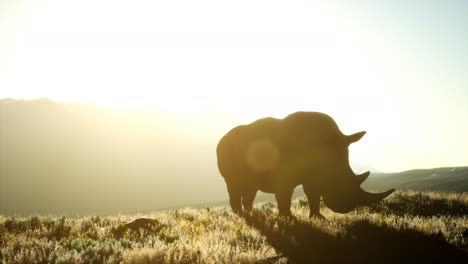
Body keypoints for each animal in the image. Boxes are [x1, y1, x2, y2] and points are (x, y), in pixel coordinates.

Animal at [217, 110, 394, 218]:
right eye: (336, 182)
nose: (345, 208)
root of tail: (222, 139)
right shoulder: (285, 173)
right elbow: (285, 195)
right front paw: (287, 218)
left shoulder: (312, 174)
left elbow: (312, 193)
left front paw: (317, 217)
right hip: (227, 150)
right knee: (233, 184)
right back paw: (242, 217)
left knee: (250, 187)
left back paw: (251, 214)